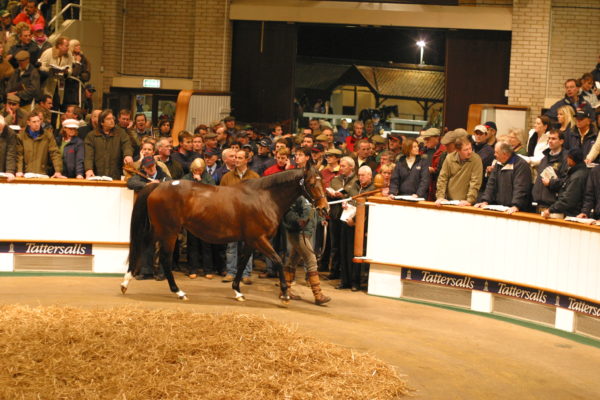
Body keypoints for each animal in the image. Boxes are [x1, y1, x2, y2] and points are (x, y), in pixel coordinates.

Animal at [120, 163, 328, 304]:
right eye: (311, 183)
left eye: (322, 182)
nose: (325, 209)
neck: (264, 198)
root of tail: (158, 185)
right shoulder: (260, 239)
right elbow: (277, 260)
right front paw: (284, 295)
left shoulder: (251, 241)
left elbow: (242, 263)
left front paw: (238, 291)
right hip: (168, 231)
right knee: (162, 256)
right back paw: (178, 291)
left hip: (161, 230)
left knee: (144, 247)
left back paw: (126, 283)